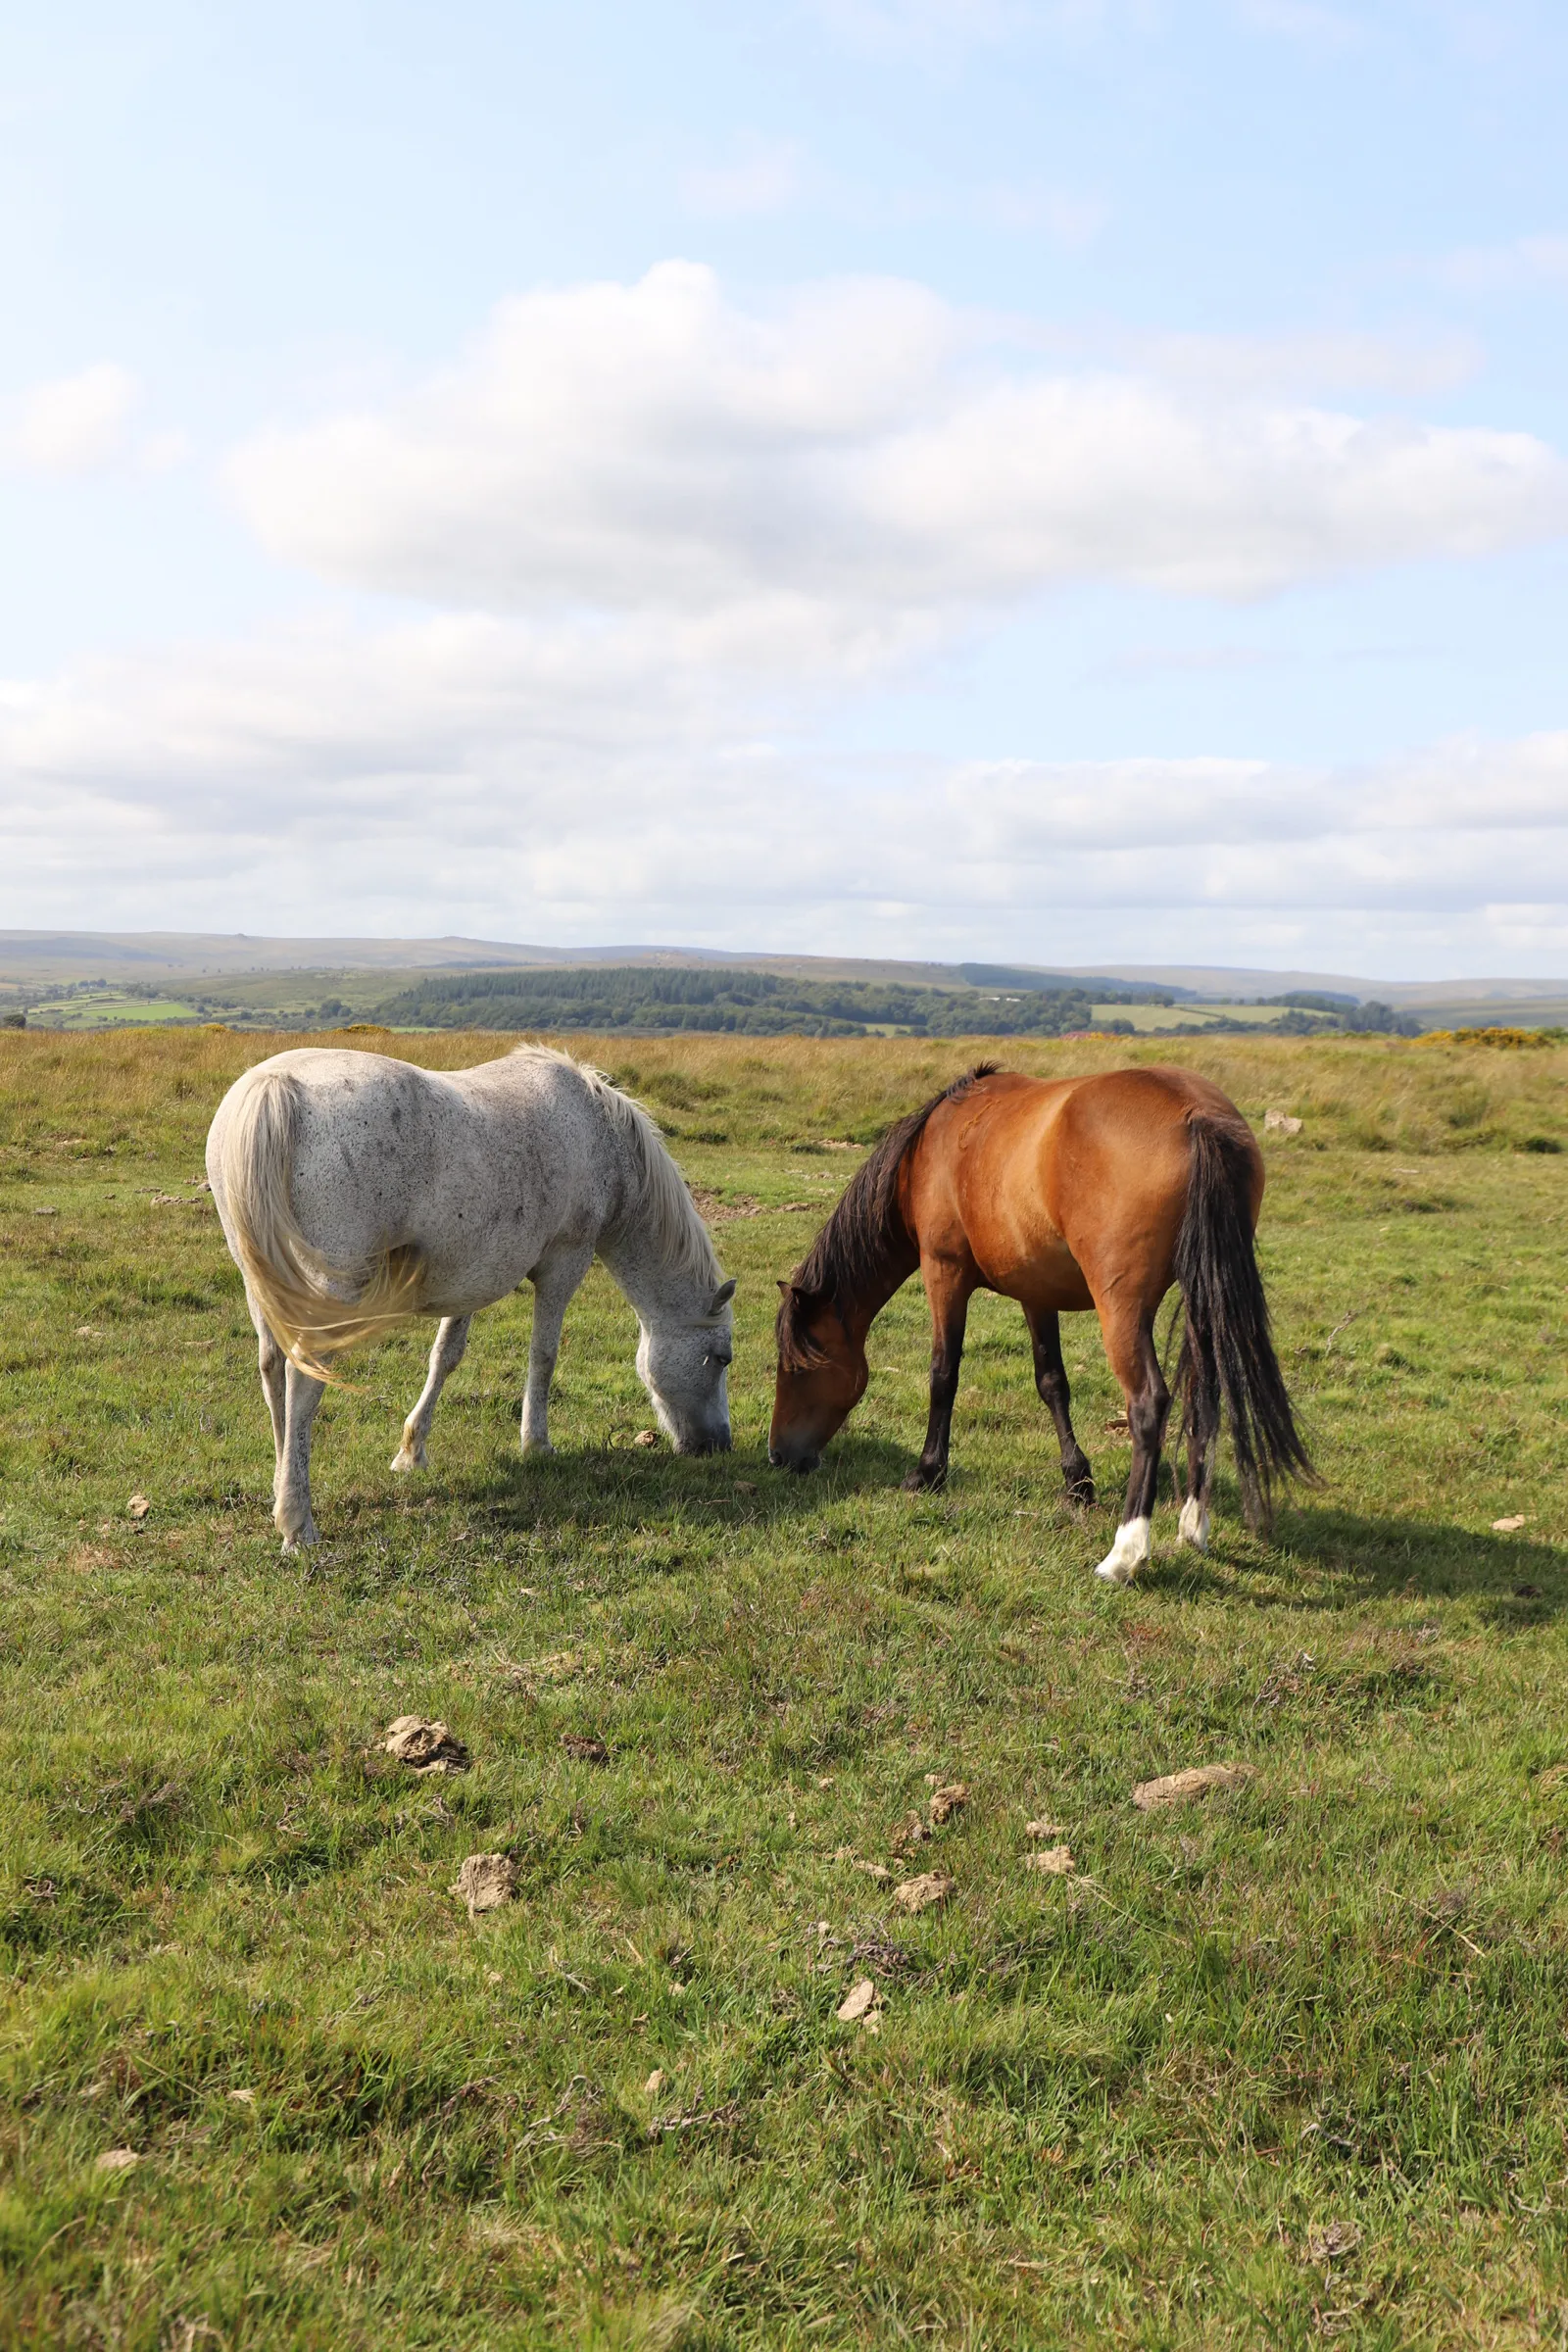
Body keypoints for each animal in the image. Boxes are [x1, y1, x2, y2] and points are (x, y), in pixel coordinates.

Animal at [206, 1044, 736, 1551]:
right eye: (721, 1358)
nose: (718, 1446)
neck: (599, 1133)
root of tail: (275, 1085)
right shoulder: (565, 1264)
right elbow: (544, 1356)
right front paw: (536, 1444)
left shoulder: (473, 1277)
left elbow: (446, 1356)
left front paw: (412, 1451)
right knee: (304, 1380)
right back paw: (298, 1521)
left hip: (265, 1284)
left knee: (272, 1368)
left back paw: (283, 1482)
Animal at [769, 1063, 1313, 1583]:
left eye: (796, 1368)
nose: (777, 1456)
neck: (928, 1153)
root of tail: (1195, 1114)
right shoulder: (1036, 1292)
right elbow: (1052, 1382)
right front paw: (1077, 1482)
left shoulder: (944, 1272)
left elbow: (943, 1374)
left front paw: (928, 1472)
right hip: (1201, 1293)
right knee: (1207, 1393)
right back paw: (1193, 1526)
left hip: (1123, 1309)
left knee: (1148, 1405)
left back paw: (1124, 1553)